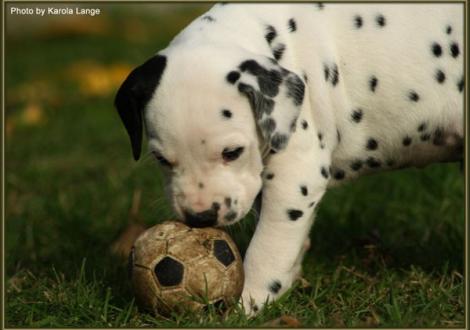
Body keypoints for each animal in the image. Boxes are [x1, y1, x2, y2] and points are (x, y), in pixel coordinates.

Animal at [115, 3, 464, 316]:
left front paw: (249, 302)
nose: (200, 217)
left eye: (232, 152)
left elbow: (268, 247)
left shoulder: (294, 176)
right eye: (161, 159)